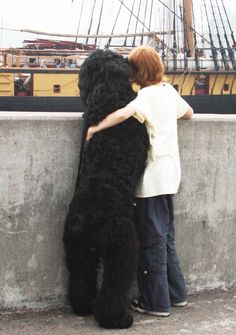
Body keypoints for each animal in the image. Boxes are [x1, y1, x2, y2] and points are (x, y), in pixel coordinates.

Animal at [63, 50, 148, 330]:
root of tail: (86, 218)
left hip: (77, 251)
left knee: (81, 282)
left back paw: (82, 306)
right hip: (122, 249)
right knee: (112, 289)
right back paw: (118, 318)